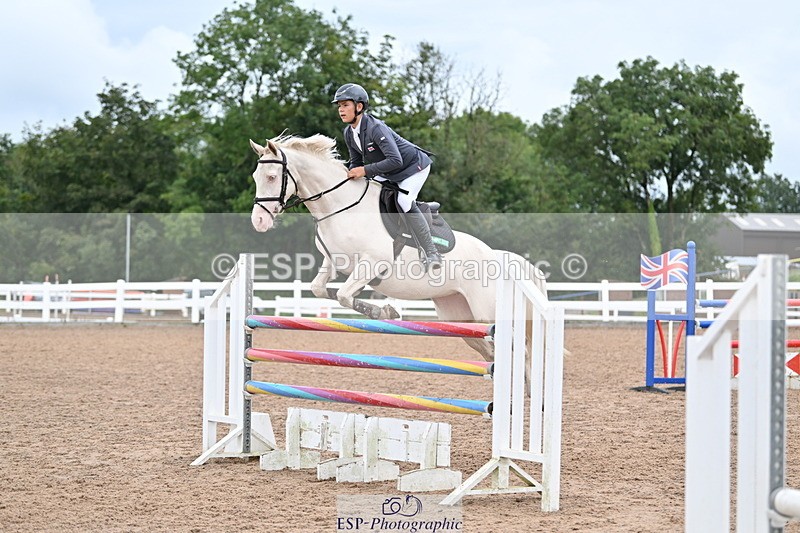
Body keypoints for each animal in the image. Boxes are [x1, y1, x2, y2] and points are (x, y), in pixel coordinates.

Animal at [248, 133, 548, 362]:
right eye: (255, 176)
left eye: (273, 177)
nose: (259, 221)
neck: (340, 206)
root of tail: (499, 257)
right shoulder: (332, 263)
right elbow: (321, 290)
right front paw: (385, 311)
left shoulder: (372, 263)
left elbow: (344, 295)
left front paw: (384, 312)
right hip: (460, 315)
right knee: (489, 349)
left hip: (487, 311)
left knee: (519, 351)